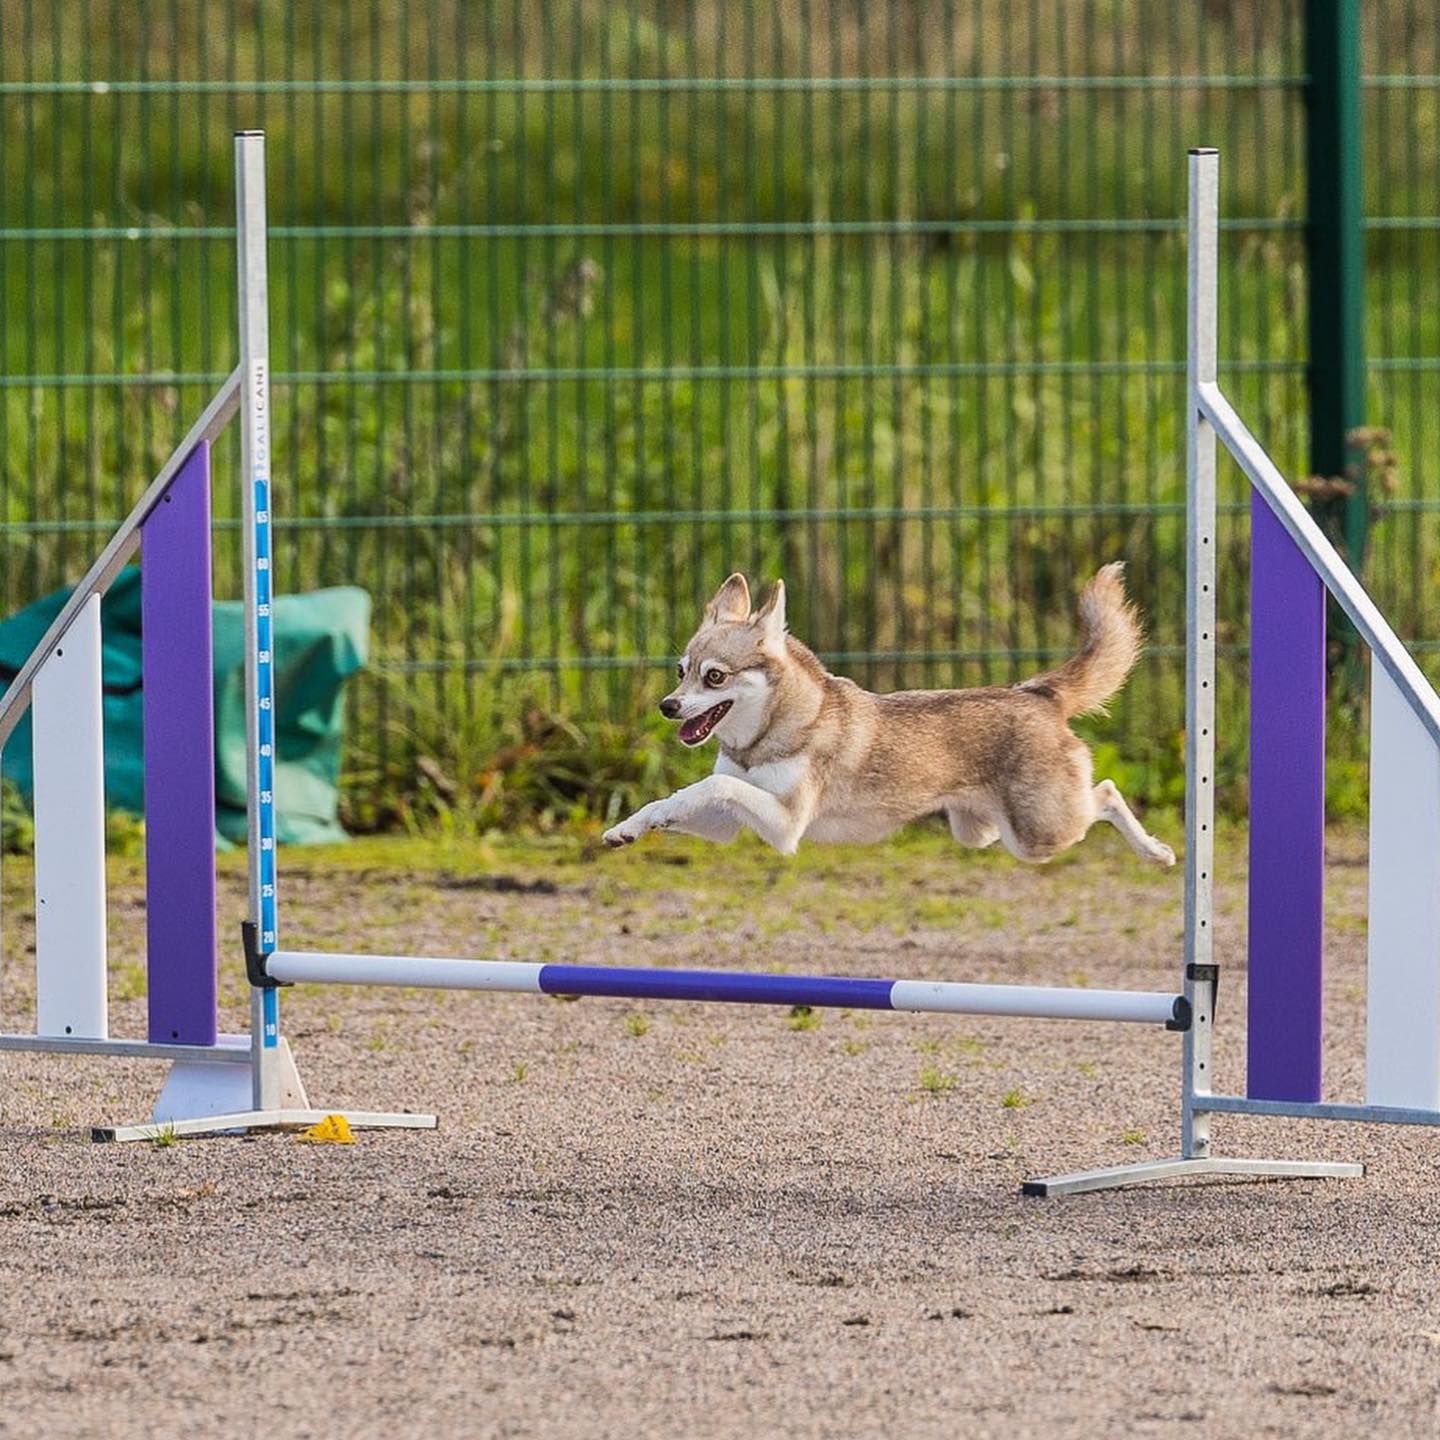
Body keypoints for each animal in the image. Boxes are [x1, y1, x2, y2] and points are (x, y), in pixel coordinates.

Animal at [601, 561, 1175, 864]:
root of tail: (1038, 693)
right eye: (681, 671)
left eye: (714, 676)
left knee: (1107, 794)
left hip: (1042, 832)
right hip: (986, 831)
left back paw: (1155, 851)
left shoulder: (785, 827)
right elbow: (682, 797)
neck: (767, 738)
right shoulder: (728, 825)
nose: (667, 706)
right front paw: (632, 826)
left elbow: (714, 784)